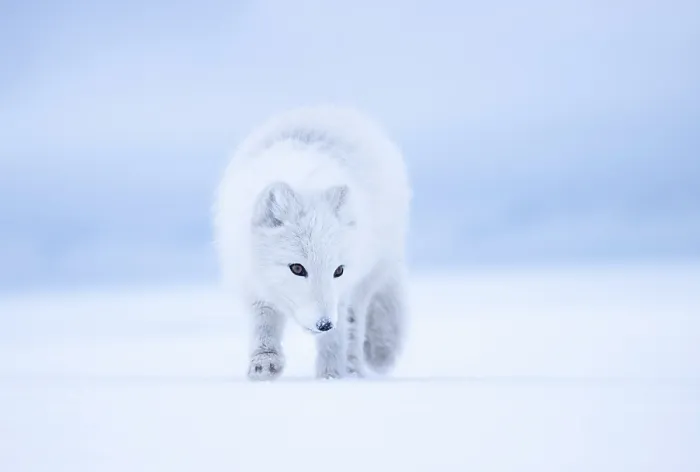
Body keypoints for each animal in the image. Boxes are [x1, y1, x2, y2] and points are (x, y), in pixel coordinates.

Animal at [214, 104, 411, 380]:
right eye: (297, 268)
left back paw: (353, 370)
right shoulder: (250, 282)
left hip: (368, 277)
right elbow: (263, 323)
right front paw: (264, 364)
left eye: (338, 270)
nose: (324, 324)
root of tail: (327, 109)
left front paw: (330, 375)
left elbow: (336, 338)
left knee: (354, 327)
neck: (303, 181)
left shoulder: (342, 293)